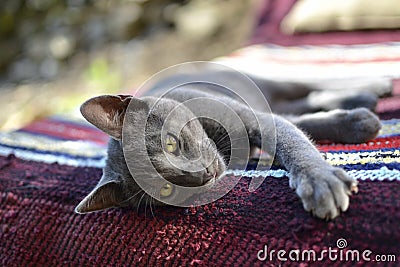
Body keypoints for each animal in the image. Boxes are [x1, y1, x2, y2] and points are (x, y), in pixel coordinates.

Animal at [75, 72, 384, 221]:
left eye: (171, 143)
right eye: (165, 189)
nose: (202, 174)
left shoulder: (257, 119)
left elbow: (294, 141)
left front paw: (321, 182)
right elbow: (299, 124)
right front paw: (357, 122)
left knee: (309, 85)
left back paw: (372, 88)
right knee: (305, 101)